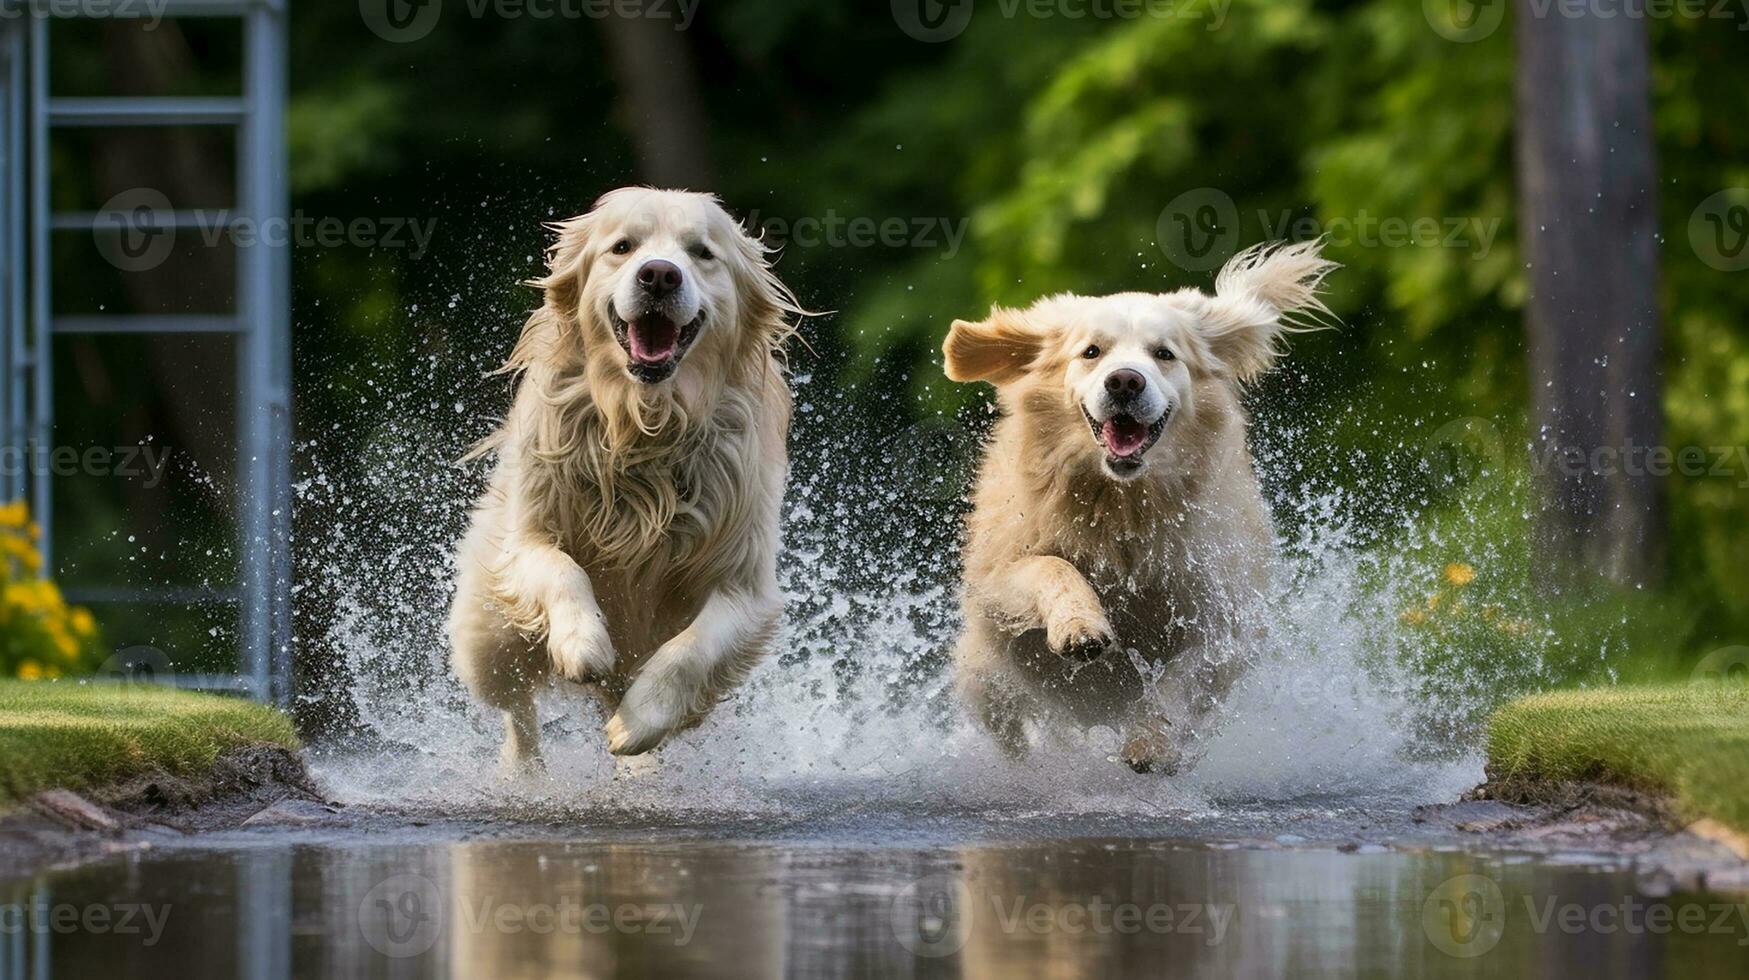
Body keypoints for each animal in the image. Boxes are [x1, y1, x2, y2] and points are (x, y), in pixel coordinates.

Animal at [451, 187, 804, 770]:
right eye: (622, 247)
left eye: (702, 252)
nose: (659, 275)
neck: (646, 422)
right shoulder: (526, 539)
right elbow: (562, 569)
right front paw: (583, 643)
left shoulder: (747, 587)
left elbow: (690, 651)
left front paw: (638, 722)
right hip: (487, 637)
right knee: (516, 710)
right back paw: (525, 775)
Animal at [944, 239, 1336, 773]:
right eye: (1091, 351)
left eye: (1164, 353)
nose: (1125, 382)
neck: (1122, 507)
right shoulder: (997, 580)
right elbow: (1051, 567)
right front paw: (1080, 627)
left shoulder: (1220, 620)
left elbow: (1179, 684)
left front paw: (1150, 742)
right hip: (983, 679)